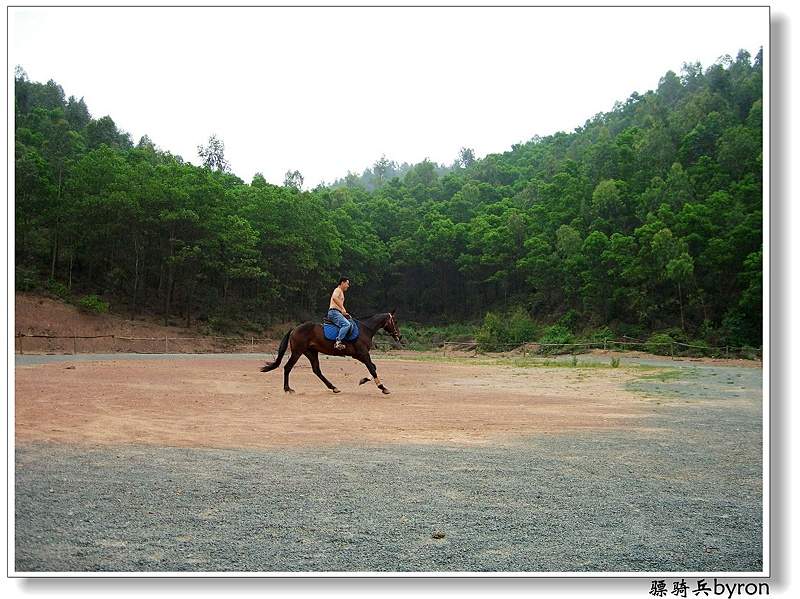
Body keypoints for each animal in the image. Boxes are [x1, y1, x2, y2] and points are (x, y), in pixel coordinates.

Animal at [260, 312, 404, 396]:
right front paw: (382, 387)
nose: (399, 336)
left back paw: (333, 387)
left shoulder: (360, 355)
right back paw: (287, 389)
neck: (364, 329)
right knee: (288, 367)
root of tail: (295, 328)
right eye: (395, 321)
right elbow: (372, 368)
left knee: (316, 370)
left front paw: (363, 380)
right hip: (297, 351)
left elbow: (373, 367)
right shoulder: (362, 354)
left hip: (311, 352)